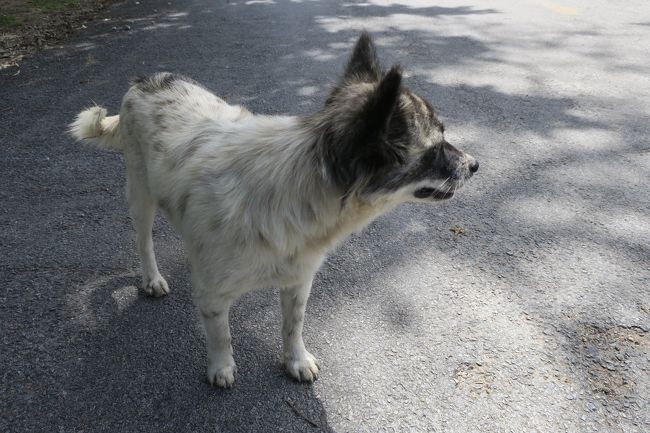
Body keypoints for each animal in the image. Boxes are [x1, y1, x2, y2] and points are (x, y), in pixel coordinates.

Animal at [69, 32, 476, 386]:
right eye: (435, 150)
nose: (475, 165)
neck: (300, 188)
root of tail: (145, 80)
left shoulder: (298, 281)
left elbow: (292, 325)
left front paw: (295, 360)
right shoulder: (213, 295)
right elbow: (220, 334)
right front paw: (221, 367)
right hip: (140, 195)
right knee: (143, 241)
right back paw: (152, 278)